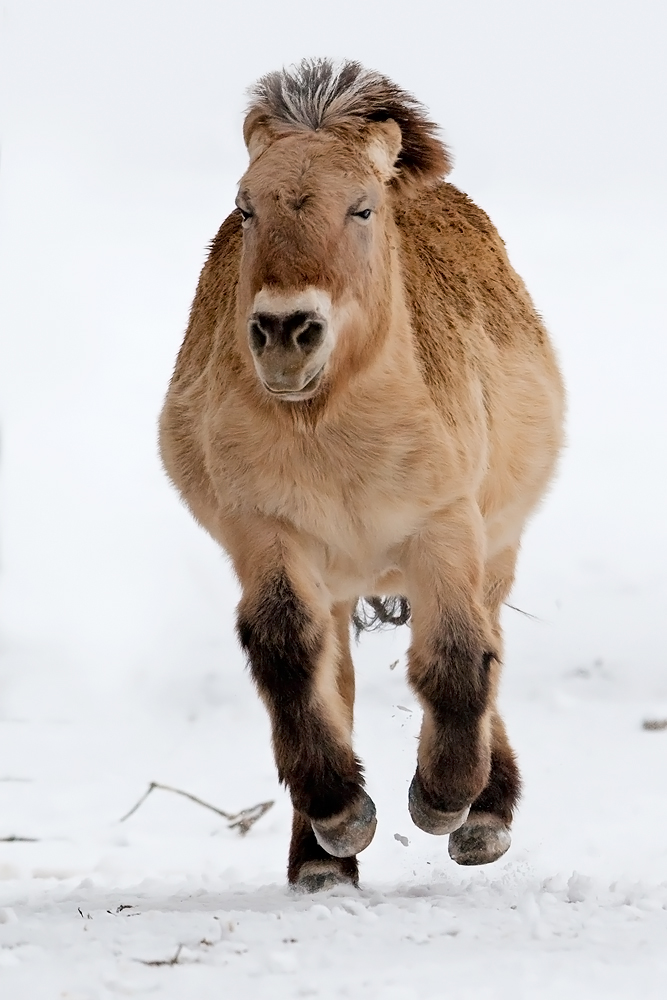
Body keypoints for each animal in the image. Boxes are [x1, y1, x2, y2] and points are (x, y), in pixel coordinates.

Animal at [160, 60, 564, 892]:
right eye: (245, 207)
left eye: (362, 206)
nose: (286, 331)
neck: (332, 431)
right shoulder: (267, 534)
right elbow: (289, 655)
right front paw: (338, 819)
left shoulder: (444, 526)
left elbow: (457, 660)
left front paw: (446, 801)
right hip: (340, 577)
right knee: (334, 672)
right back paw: (322, 854)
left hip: (493, 546)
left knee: (487, 642)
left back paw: (486, 809)